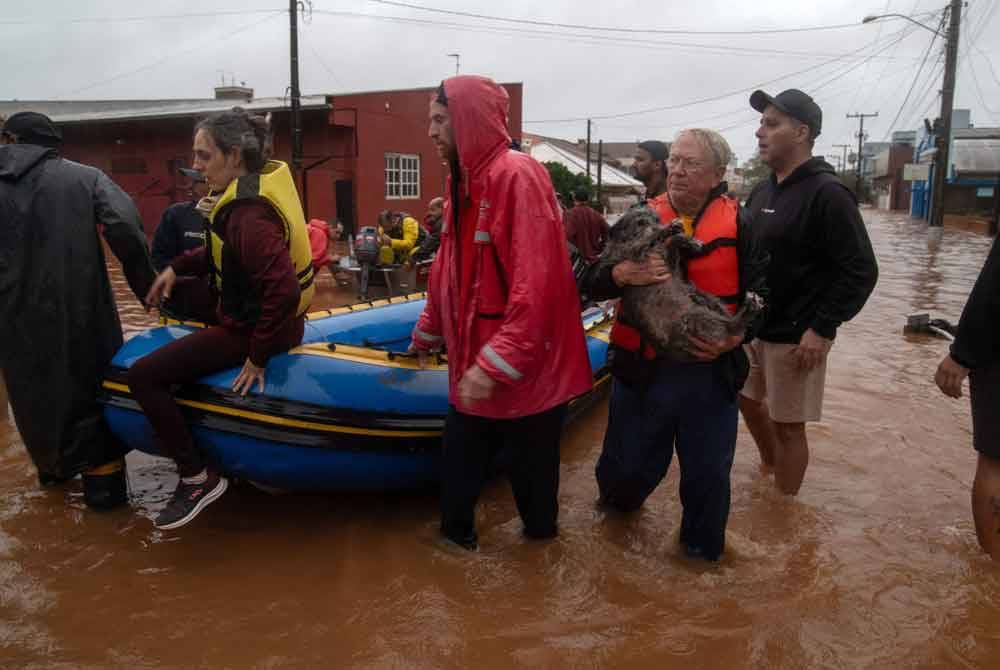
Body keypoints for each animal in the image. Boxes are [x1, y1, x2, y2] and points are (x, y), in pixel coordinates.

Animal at [600, 207, 764, 362]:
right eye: (640, 223)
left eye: (656, 219)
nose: (658, 225)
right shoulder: (636, 253)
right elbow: (647, 241)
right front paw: (668, 229)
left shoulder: (669, 268)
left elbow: (673, 244)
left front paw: (686, 240)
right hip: (694, 319)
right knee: (732, 328)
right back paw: (748, 311)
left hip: (704, 297)